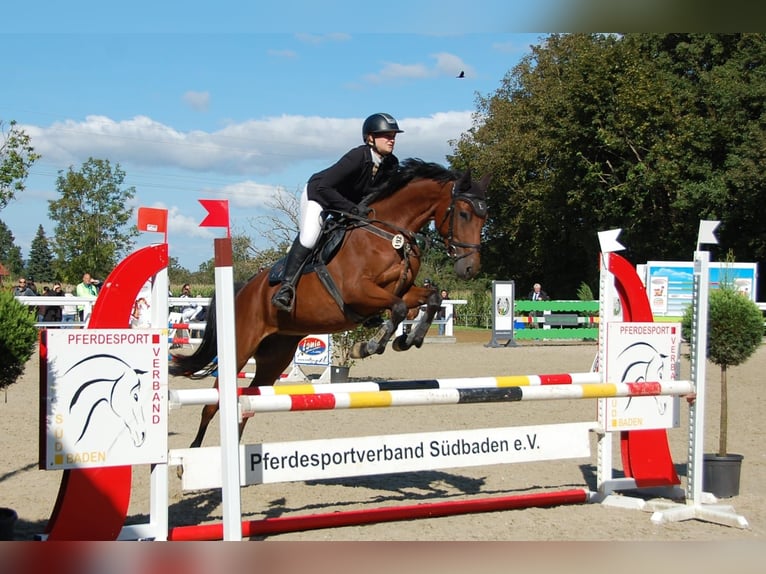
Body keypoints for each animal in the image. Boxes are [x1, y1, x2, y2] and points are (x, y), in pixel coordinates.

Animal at [171, 158, 490, 448]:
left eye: (484, 219)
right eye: (463, 214)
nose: (470, 269)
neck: (390, 235)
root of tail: (242, 290)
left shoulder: (404, 290)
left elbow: (430, 299)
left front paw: (408, 340)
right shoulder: (357, 292)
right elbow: (398, 308)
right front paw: (368, 346)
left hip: (275, 356)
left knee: (248, 402)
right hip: (241, 347)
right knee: (213, 403)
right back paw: (193, 456)